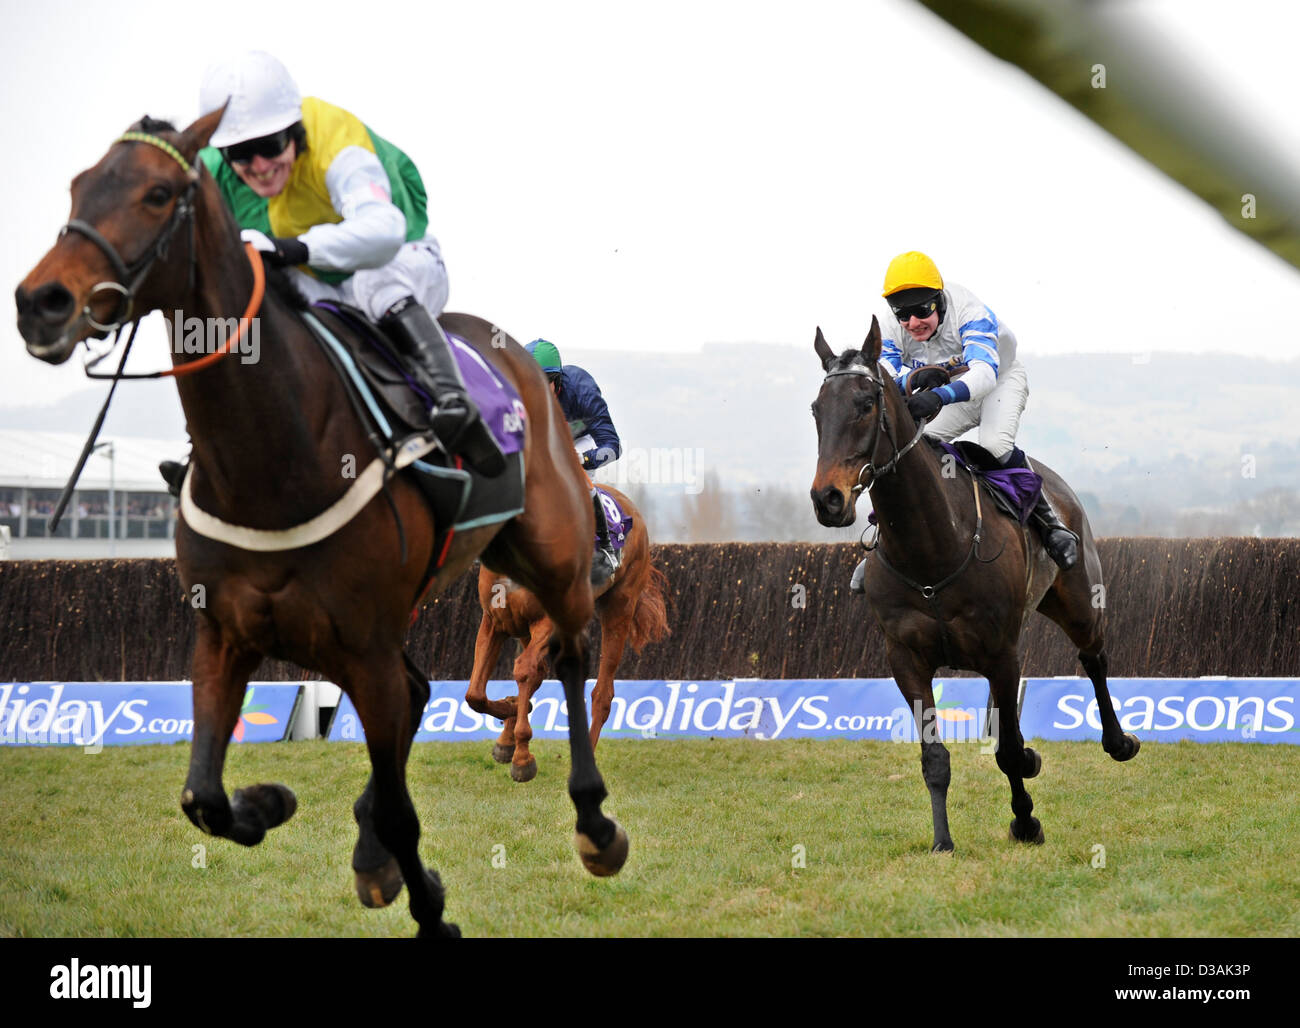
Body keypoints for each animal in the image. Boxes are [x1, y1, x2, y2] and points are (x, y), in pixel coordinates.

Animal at [17, 108, 629, 935]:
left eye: (157, 193)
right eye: (79, 185)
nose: (41, 301)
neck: (272, 459)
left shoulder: (364, 644)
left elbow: (405, 805)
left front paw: (432, 908)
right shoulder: (227, 632)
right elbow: (203, 798)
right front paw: (273, 801)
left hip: (552, 555)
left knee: (567, 655)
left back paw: (592, 822)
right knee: (420, 696)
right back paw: (375, 849)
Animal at [467, 486, 670, 784]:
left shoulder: (546, 622)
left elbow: (524, 672)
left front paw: (523, 758)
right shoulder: (495, 621)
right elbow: (475, 694)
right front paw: (511, 717)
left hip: (620, 607)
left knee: (602, 693)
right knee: (536, 674)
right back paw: (508, 733)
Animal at [806, 322, 1133, 852]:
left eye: (865, 403)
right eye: (817, 409)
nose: (828, 499)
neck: (931, 551)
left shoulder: (1001, 654)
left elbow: (1009, 750)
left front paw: (1026, 820)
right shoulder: (906, 658)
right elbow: (936, 758)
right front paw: (943, 840)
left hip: (1078, 600)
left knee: (1094, 657)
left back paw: (1119, 741)